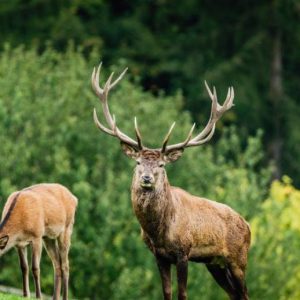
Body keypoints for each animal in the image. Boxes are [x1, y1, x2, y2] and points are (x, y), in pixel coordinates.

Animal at [91, 65, 251, 300]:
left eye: (161, 165)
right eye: (138, 162)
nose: (146, 178)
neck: (159, 232)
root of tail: (248, 225)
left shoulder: (184, 251)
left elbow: (182, 294)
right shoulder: (159, 256)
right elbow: (167, 292)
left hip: (239, 259)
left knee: (244, 293)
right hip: (215, 264)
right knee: (234, 294)